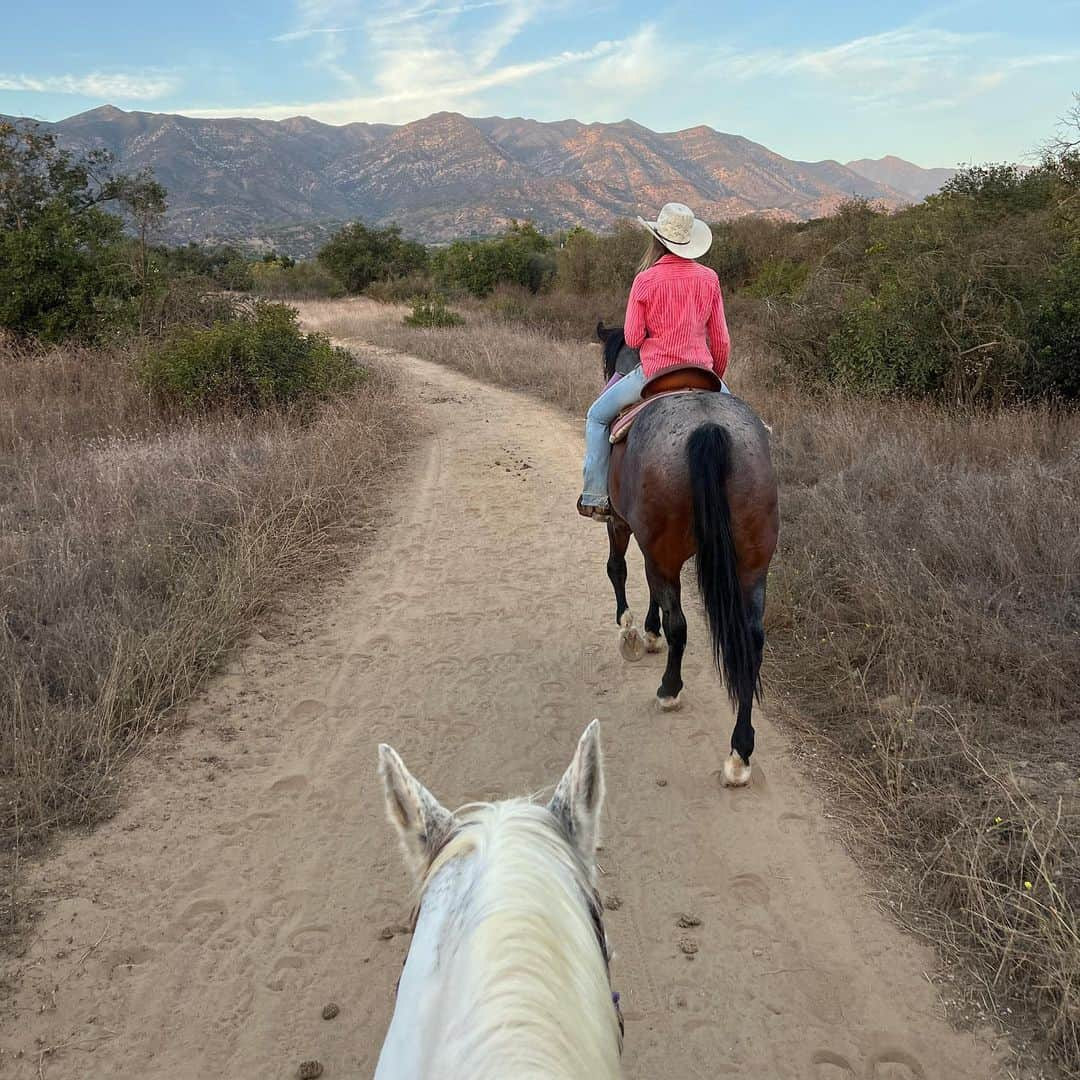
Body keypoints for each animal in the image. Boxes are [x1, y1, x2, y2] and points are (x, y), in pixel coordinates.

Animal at [600, 319, 777, 786]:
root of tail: (709, 428)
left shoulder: (621, 524)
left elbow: (618, 569)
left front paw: (631, 629)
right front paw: (647, 630)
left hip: (663, 549)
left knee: (679, 623)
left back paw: (669, 690)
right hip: (753, 563)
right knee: (752, 640)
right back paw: (740, 752)